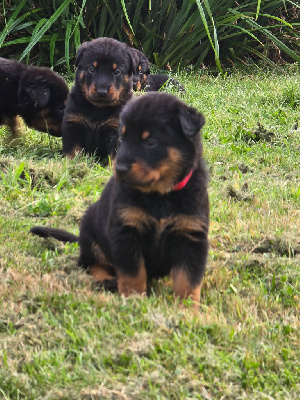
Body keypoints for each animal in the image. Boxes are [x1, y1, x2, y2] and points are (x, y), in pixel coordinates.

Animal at [29, 93, 209, 306]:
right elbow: (133, 273)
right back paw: (106, 280)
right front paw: (133, 300)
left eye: (151, 142)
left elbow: (187, 280)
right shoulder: (126, 231)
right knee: (92, 264)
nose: (119, 169)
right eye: (123, 138)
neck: (160, 197)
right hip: (91, 233)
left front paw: (186, 308)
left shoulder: (191, 235)